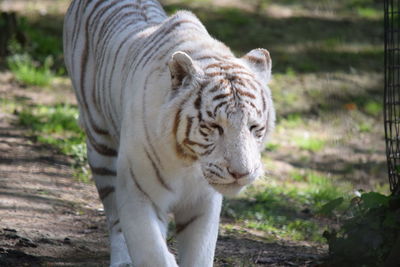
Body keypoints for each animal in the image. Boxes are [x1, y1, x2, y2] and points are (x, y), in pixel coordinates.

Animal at [63, 0, 276, 267]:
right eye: (214, 126)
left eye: (254, 127)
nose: (241, 173)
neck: (188, 161)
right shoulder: (138, 191)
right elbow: (151, 252)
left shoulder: (203, 203)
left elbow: (199, 255)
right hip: (100, 144)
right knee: (114, 218)